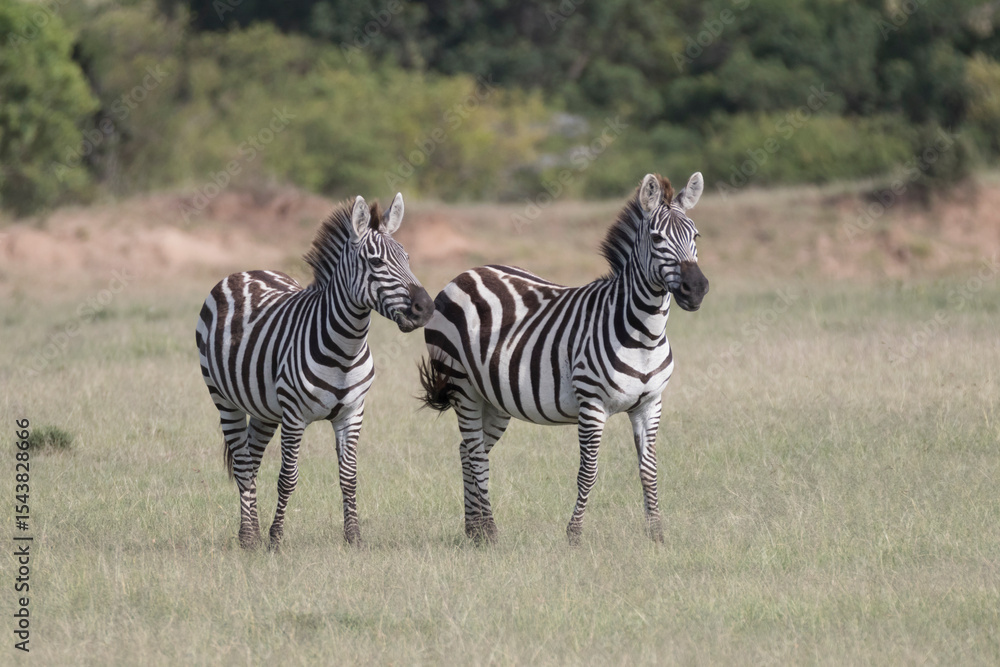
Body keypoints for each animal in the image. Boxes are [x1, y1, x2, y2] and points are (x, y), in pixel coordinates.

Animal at [196, 193, 434, 549]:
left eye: (408, 258)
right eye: (377, 263)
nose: (427, 308)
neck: (345, 349)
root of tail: (246, 272)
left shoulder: (352, 412)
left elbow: (349, 477)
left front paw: (354, 537)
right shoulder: (294, 415)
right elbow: (288, 478)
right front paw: (276, 539)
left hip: (265, 410)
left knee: (251, 460)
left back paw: (251, 530)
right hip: (224, 399)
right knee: (241, 463)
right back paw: (249, 537)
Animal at [419, 173, 709, 544]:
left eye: (695, 235)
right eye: (657, 238)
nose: (696, 289)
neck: (645, 333)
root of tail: (465, 275)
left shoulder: (650, 404)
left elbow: (649, 469)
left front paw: (656, 533)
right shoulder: (592, 404)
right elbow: (588, 472)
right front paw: (574, 535)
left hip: (493, 398)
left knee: (468, 451)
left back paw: (474, 531)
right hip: (462, 387)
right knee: (475, 454)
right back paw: (490, 532)